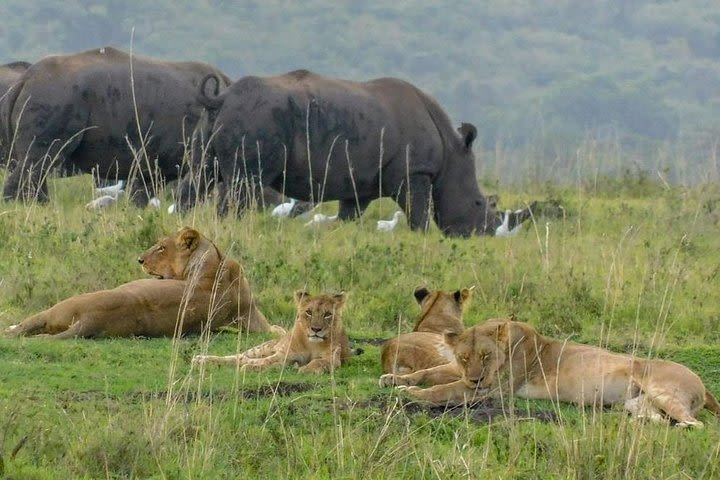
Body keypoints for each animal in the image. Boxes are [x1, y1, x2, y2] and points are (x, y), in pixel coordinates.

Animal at [3, 227, 284, 340]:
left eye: (161, 247)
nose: (139, 259)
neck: (214, 264)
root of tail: (93, 318)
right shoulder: (252, 318)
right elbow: (273, 329)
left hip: (59, 307)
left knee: (24, 327)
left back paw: (8, 328)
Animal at [394, 318, 720, 428]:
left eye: (486, 356)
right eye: (464, 357)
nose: (475, 377)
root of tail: (702, 382)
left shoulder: (493, 390)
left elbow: (442, 389)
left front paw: (411, 394)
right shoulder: (461, 374)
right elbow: (433, 371)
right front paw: (396, 379)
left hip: (664, 393)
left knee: (696, 423)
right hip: (637, 403)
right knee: (655, 418)